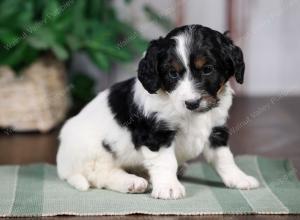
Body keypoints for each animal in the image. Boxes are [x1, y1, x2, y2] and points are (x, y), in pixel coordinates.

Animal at [57, 24, 258, 199]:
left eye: (207, 69)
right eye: (172, 73)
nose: (192, 103)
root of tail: (62, 166)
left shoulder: (216, 129)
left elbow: (224, 157)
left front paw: (238, 178)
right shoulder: (156, 134)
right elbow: (165, 161)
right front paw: (169, 187)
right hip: (95, 153)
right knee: (101, 175)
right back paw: (132, 182)